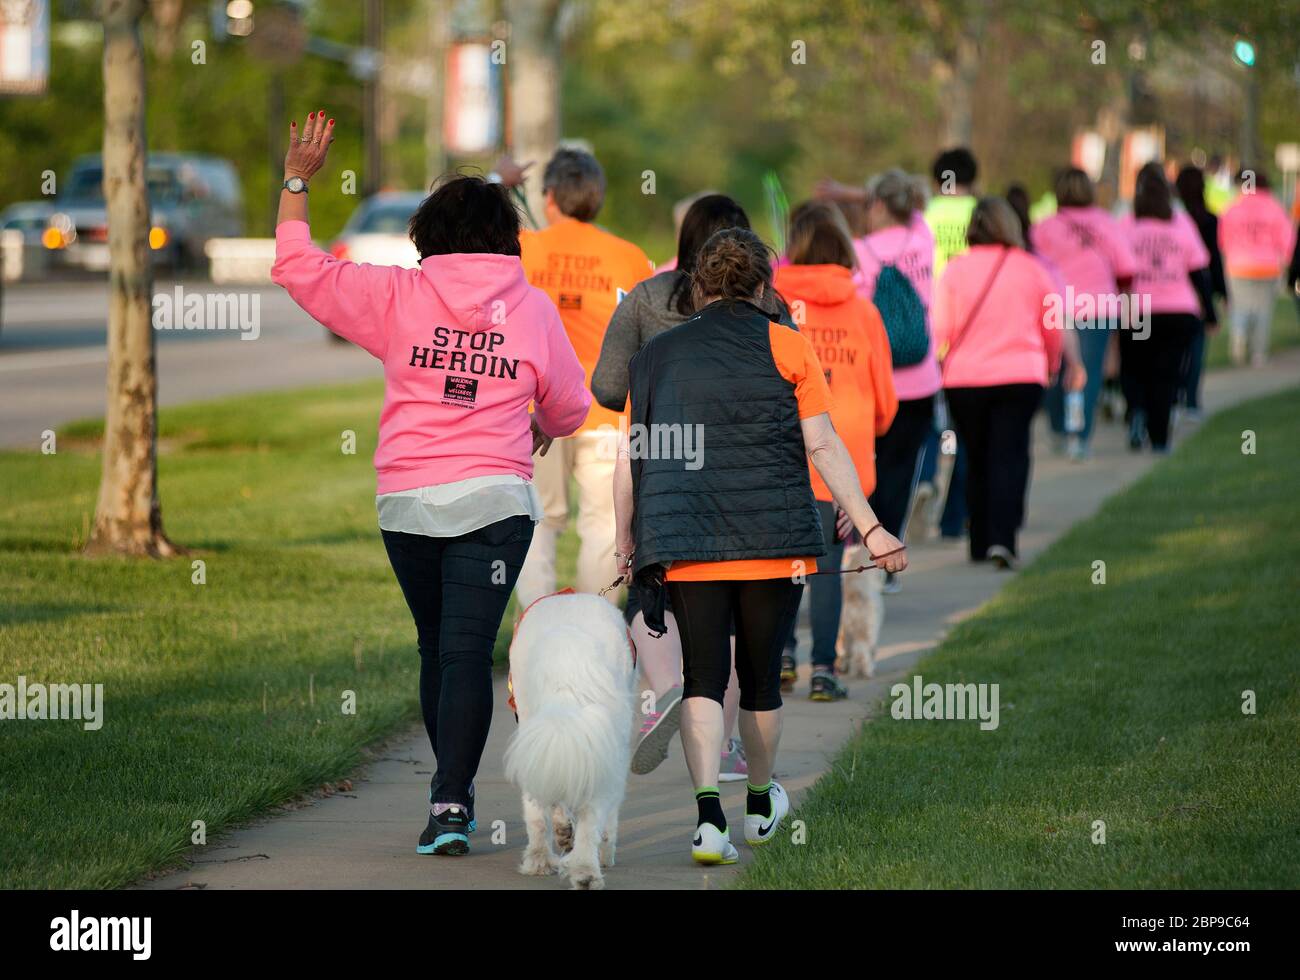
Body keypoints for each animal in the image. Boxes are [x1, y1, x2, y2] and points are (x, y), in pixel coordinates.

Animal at [499, 587, 637, 883]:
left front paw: (563, 831)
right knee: (592, 814)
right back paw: (587, 867)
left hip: (533, 736)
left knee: (536, 811)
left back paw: (543, 859)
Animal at [832, 543, 883, 681]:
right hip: (870, 628)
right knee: (865, 650)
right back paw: (867, 670)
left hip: (845, 631)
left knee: (847, 652)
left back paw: (848, 669)